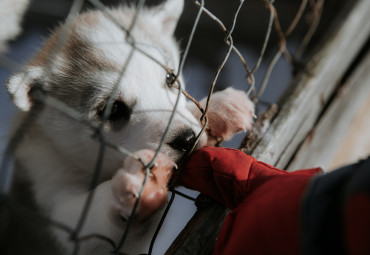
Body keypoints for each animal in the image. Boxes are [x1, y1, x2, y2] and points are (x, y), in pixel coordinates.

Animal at [2, 0, 256, 254]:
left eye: (171, 79)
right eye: (113, 109)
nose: (187, 140)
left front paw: (219, 107)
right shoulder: (50, 198)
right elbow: (89, 211)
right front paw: (135, 187)